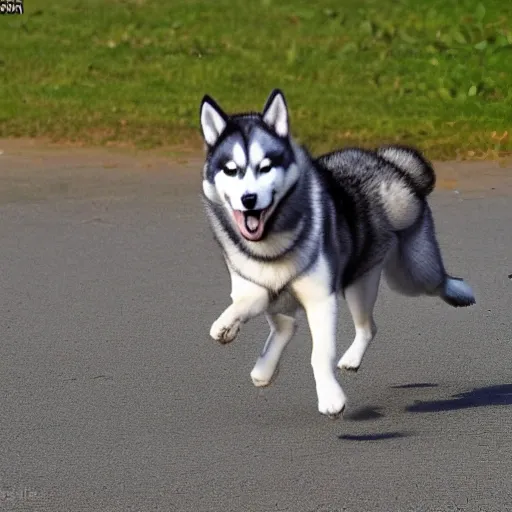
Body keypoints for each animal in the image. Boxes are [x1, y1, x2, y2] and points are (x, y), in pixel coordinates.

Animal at [199, 88, 476, 416]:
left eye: (265, 167)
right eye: (231, 170)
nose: (249, 199)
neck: (272, 245)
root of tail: (387, 162)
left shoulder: (321, 298)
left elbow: (319, 353)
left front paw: (330, 397)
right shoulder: (256, 287)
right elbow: (256, 308)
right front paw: (230, 331)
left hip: (402, 274)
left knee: (413, 295)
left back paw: (459, 292)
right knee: (340, 326)